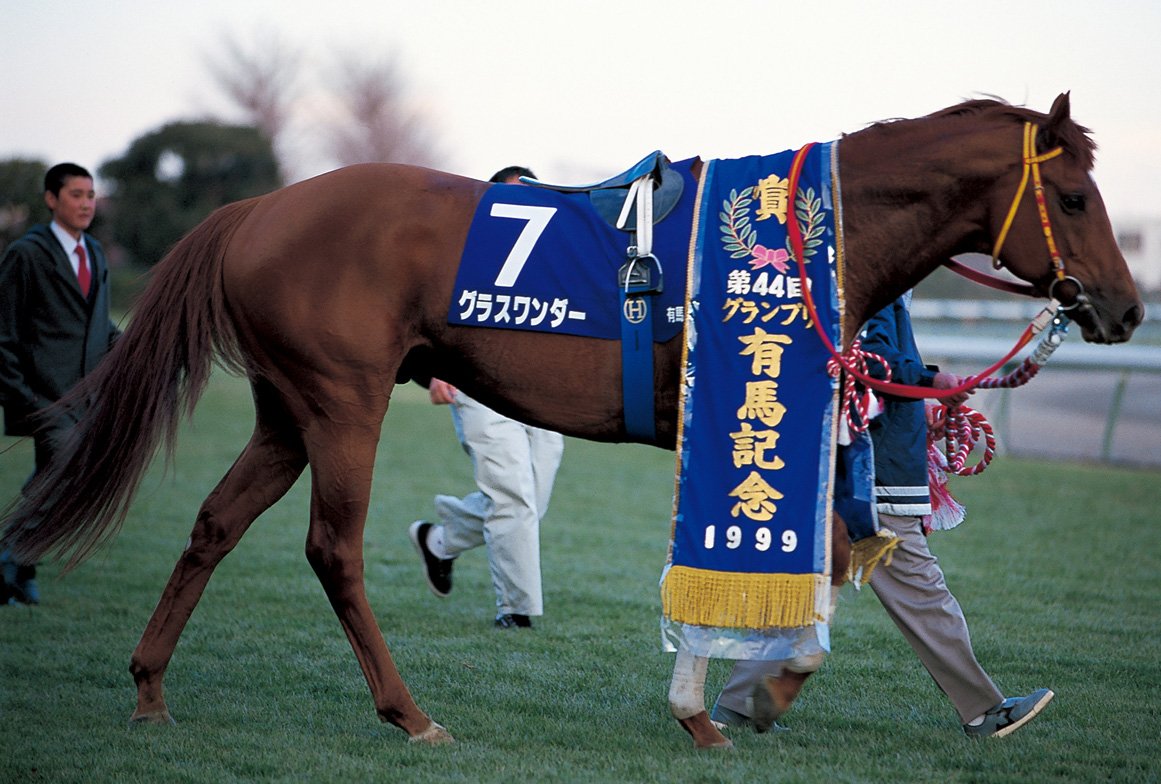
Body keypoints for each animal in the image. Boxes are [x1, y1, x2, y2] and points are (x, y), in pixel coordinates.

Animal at [0, 93, 1142, 749]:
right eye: (1075, 197)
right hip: (341, 398)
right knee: (332, 549)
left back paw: (150, 689)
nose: (1125, 310)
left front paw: (738, 695)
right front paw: (727, 703)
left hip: (286, 410)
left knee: (213, 525)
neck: (807, 239)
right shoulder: (727, 429)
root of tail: (257, 210)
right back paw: (408, 712)